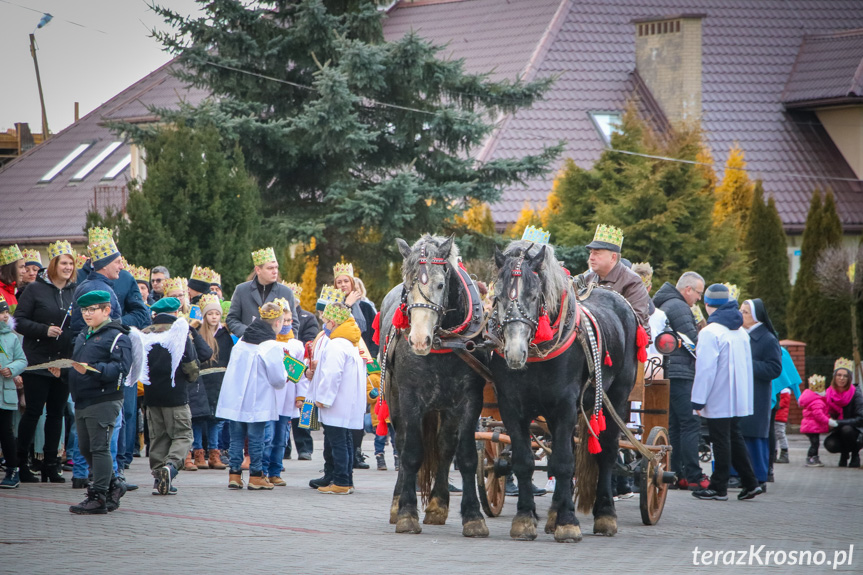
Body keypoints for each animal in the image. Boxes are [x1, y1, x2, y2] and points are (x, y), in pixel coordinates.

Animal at [380, 235, 490, 540]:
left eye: (441, 285)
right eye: (407, 285)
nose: (419, 340)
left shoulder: (470, 400)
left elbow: (466, 455)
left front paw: (473, 517)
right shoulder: (410, 398)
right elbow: (411, 453)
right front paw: (407, 514)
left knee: (445, 446)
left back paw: (438, 505)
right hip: (395, 400)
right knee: (402, 443)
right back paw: (397, 503)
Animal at [490, 241, 636, 544]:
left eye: (535, 295)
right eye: (497, 297)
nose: (515, 353)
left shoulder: (565, 406)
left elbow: (564, 463)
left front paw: (568, 523)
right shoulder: (511, 407)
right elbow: (524, 461)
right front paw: (525, 519)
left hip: (616, 398)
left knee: (606, 452)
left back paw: (605, 515)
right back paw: (554, 514)